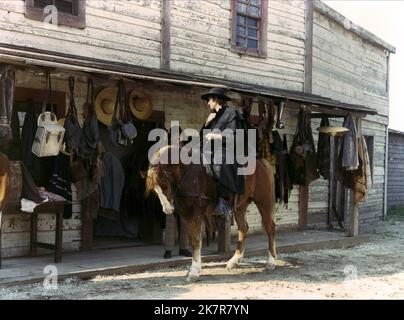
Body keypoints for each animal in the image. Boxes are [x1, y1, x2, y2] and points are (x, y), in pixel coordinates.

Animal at [147, 144, 276, 282]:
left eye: (165, 186)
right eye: (155, 190)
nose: (167, 210)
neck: (188, 173)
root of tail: (261, 163)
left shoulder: (196, 214)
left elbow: (196, 240)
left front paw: (193, 272)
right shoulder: (186, 214)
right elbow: (193, 239)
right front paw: (195, 269)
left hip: (263, 202)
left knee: (270, 228)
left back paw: (271, 262)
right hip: (240, 206)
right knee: (243, 229)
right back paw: (234, 261)